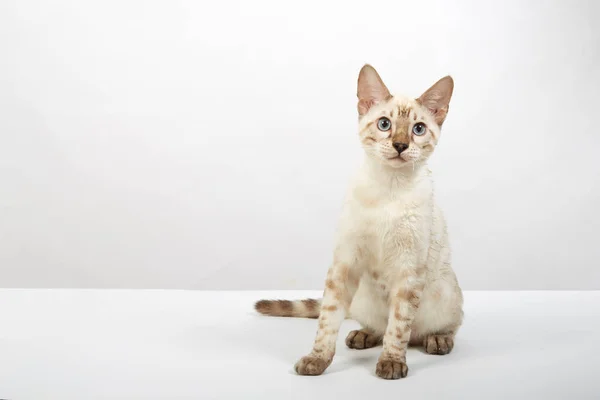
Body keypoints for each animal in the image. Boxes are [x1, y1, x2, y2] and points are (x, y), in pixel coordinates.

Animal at [253, 65, 464, 378]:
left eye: (418, 129)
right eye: (385, 124)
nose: (400, 145)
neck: (389, 187)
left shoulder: (408, 271)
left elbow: (398, 326)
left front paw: (392, 362)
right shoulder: (345, 263)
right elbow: (328, 320)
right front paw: (317, 359)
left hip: (446, 292)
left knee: (439, 327)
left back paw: (436, 339)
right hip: (363, 297)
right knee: (372, 323)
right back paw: (363, 335)